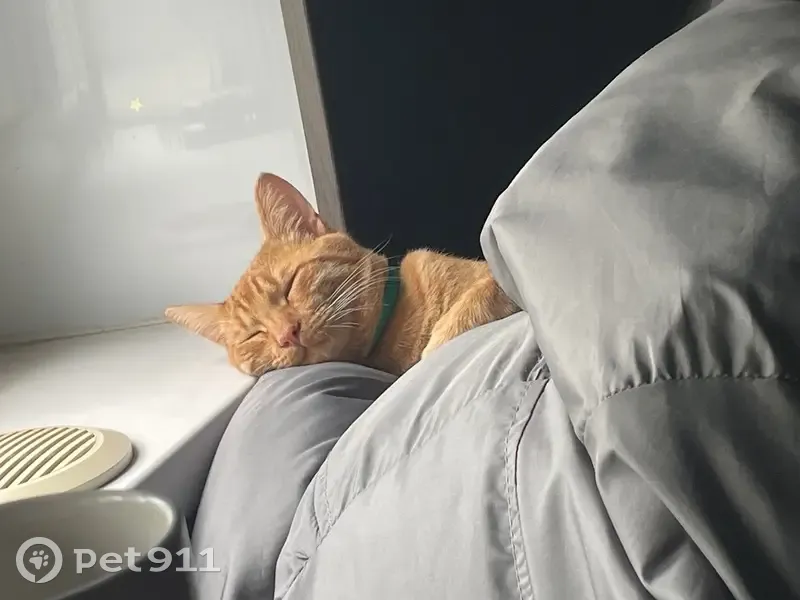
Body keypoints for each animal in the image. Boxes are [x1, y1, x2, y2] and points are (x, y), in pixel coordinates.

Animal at [164, 173, 520, 377]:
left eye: (290, 285)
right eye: (254, 335)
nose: (287, 334)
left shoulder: (490, 275)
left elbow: (482, 296)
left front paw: (442, 340)